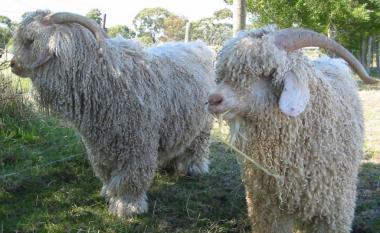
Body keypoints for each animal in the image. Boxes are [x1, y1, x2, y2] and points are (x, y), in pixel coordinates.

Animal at [11, 10, 214, 218]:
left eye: (30, 40)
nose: (12, 64)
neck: (104, 78)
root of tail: (198, 45)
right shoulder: (101, 145)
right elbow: (107, 172)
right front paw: (109, 193)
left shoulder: (137, 143)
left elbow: (131, 177)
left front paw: (127, 206)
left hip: (204, 125)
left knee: (198, 146)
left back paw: (194, 168)